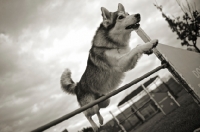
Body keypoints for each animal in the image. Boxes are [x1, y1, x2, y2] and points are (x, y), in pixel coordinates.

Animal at [61, 3, 158, 132]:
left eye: (128, 14)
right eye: (121, 17)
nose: (138, 15)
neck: (114, 44)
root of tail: (77, 86)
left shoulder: (128, 62)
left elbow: (136, 47)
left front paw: (147, 49)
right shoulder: (120, 64)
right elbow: (136, 48)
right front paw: (149, 44)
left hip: (105, 101)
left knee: (97, 111)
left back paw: (101, 120)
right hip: (91, 106)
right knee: (87, 115)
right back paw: (94, 126)